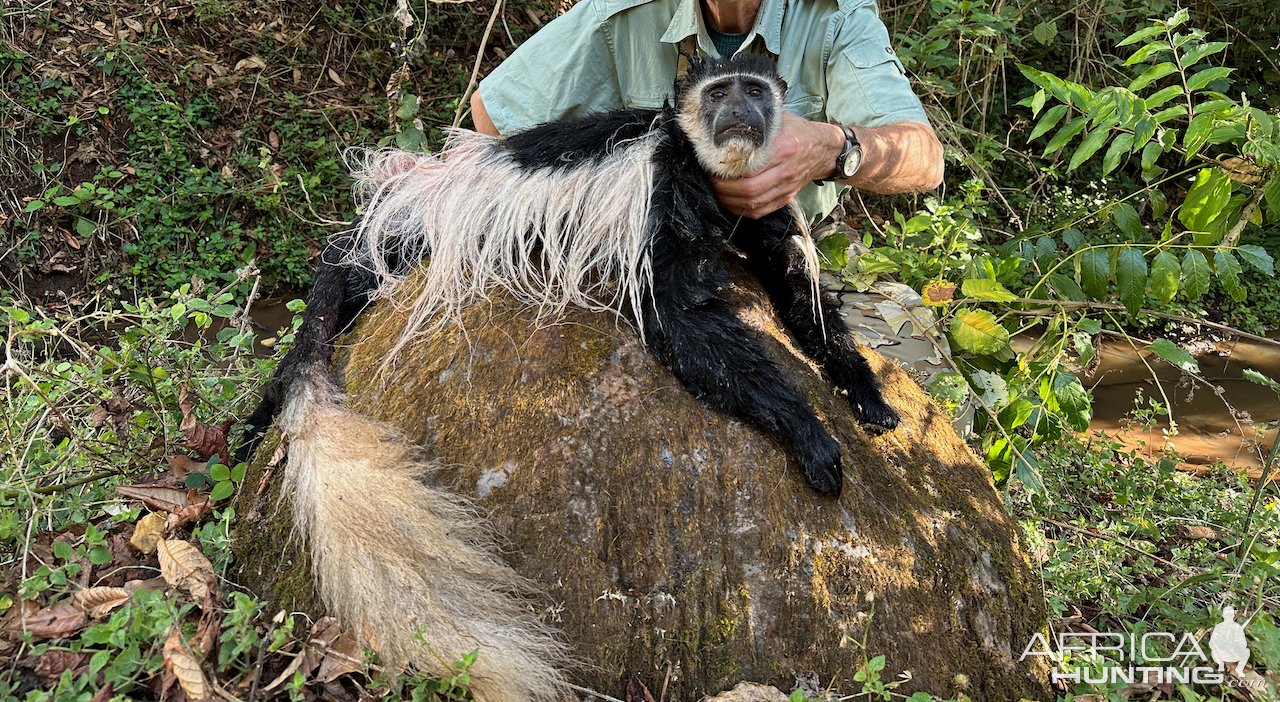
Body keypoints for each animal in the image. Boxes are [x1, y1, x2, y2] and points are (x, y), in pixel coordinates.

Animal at [240, 56, 901, 702]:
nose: (740, 113)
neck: (697, 160)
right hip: (426, 232)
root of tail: (423, 186)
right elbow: (679, 317)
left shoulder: (756, 200)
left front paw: (867, 394)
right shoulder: (660, 196)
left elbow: (795, 287)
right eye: (719, 94)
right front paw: (808, 433)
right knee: (350, 279)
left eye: (756, 91)